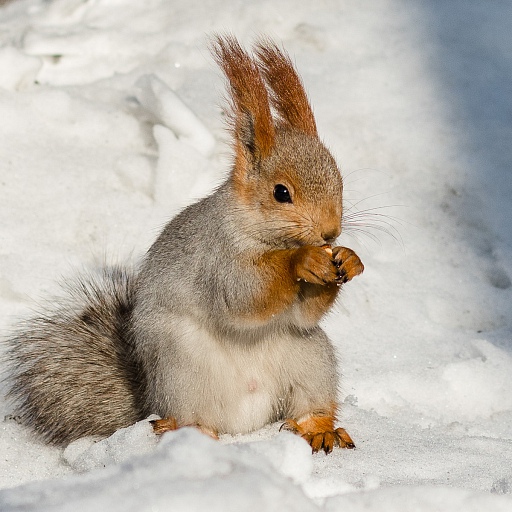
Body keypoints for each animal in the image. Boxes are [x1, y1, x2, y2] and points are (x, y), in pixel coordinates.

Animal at [4, 35, 364, 452]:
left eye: (340, 179)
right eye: (281, 193)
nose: (330, 233)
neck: (263, 234)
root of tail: (245, 422)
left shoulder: (301, 317)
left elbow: (305, 314)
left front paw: (348, 259)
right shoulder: (216, 259)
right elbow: (244, 297)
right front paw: (301, 260)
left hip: (309, 356)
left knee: (309, 398)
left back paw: (318, 428)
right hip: (183, 367)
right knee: (192, 415)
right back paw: (188, 431)